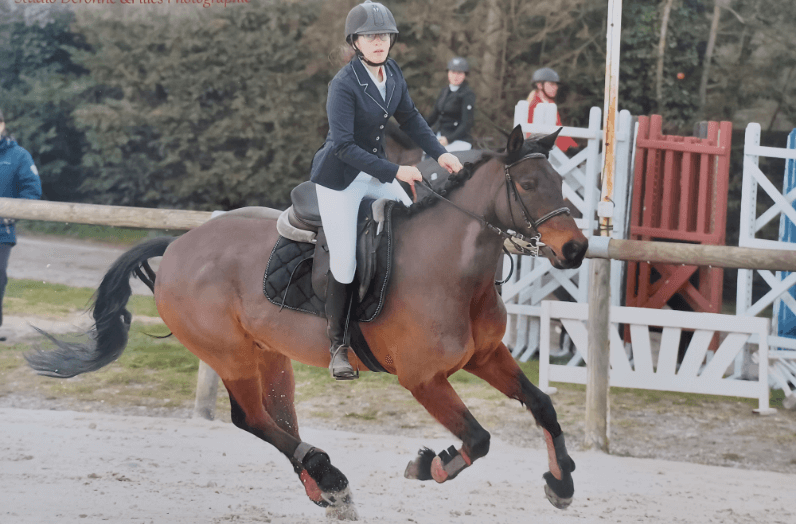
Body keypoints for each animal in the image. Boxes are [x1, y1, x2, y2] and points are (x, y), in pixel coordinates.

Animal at [26, 125, 588, 520]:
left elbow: (542, 405)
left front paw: (561, 485)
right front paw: (428, 464)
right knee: (252, 419)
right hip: (230, 356)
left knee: (279, 418)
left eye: (561, 181)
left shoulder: (486, 356)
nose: (576, 250)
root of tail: (180, 244)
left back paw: (325, 484)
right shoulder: (423, 379)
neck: (454, 271)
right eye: (529, 184)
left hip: (271, 357)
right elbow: (477, 439)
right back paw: (328, 475)